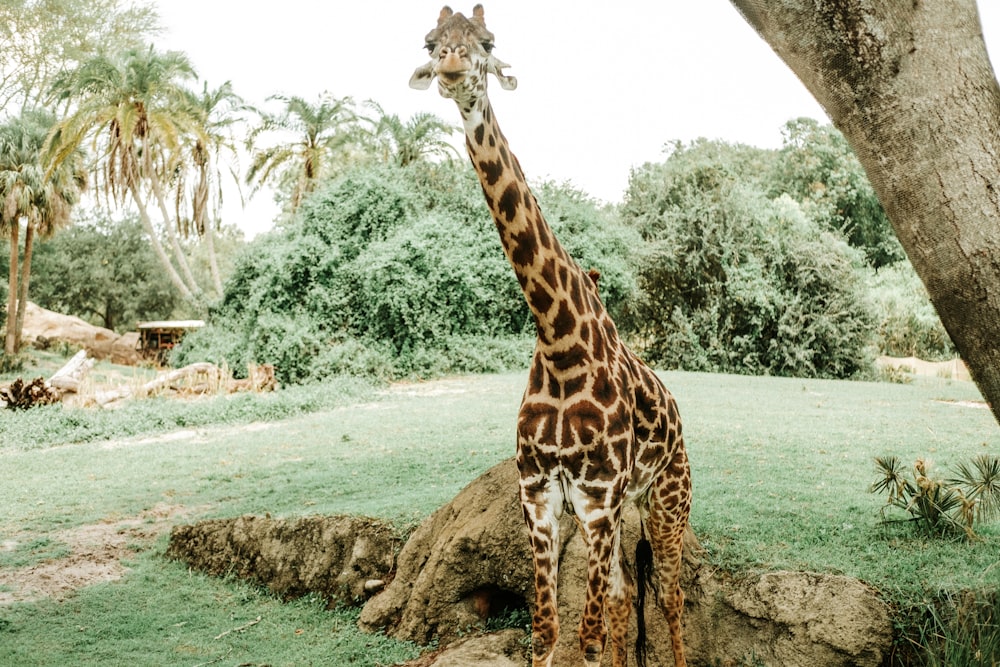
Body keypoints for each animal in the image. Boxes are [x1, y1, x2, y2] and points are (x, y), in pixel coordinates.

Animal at [410, 6, 692, 667]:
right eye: (432, 42)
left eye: (487, 43)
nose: (453, 68)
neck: (561, 344)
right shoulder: (540, 496)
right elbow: (548, 631)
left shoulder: (597, 498)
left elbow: (584, 640)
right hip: (624, 510)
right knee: (623, 598)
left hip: (665, 498)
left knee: (669, 595)